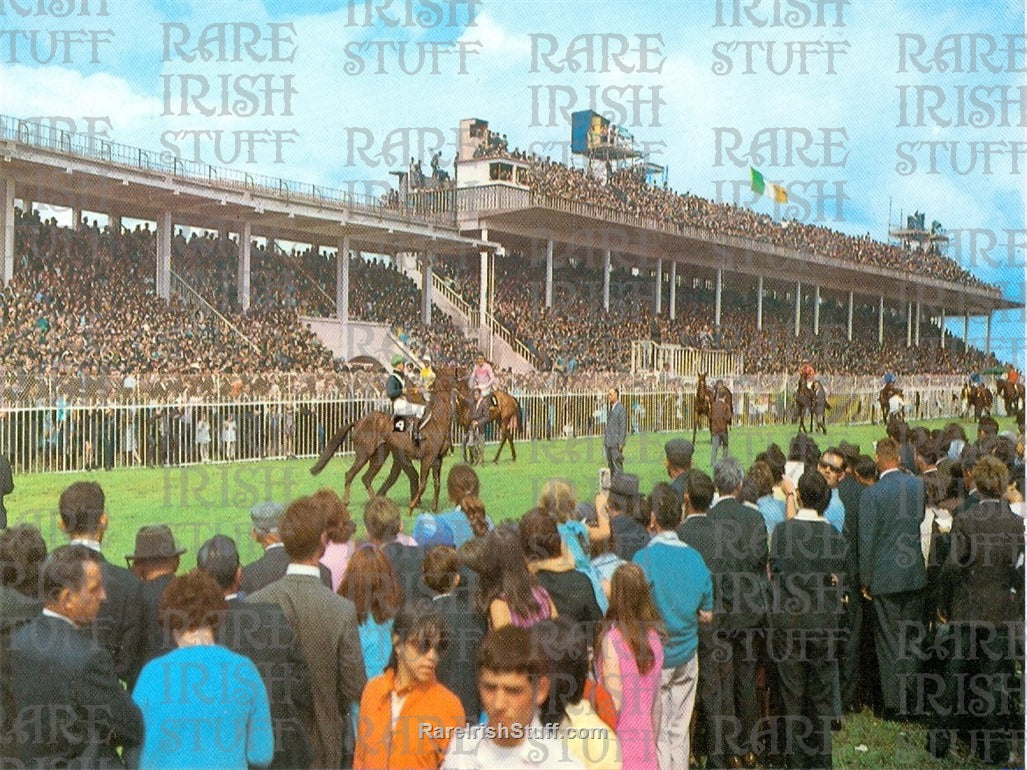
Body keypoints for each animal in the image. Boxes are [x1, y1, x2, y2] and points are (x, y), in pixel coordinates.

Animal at [308, 371, 458, 515]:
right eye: (450, 376)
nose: (458, 386)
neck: (437, 422)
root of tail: (359, 421)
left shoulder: (438, 460)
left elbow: (437, 484)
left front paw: (434, 508)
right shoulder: (427, 459)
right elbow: (423, 485)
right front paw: (411, 508)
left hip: (379, 456)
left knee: (366, 478)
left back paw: (377, 503)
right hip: (364, 455)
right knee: (350, 474)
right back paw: (346, 503)